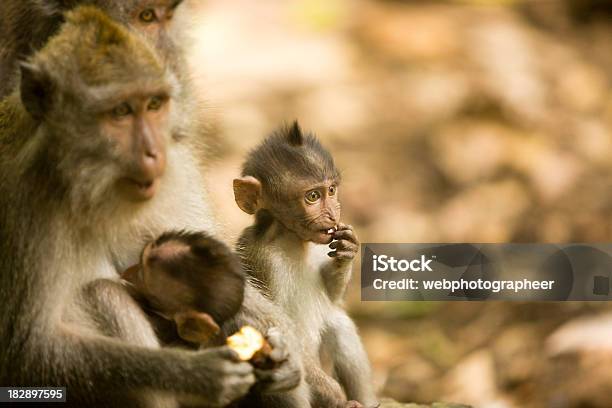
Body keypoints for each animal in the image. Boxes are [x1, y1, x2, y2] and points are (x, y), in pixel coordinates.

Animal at [233, 122, 378, 408]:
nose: (333, 215)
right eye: (312, 196)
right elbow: (276, 327)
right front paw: (337, 396)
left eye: (331, 190)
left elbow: (334, 299)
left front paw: (348, 250)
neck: (293, 240)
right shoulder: (263, 261)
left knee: (339, 323)